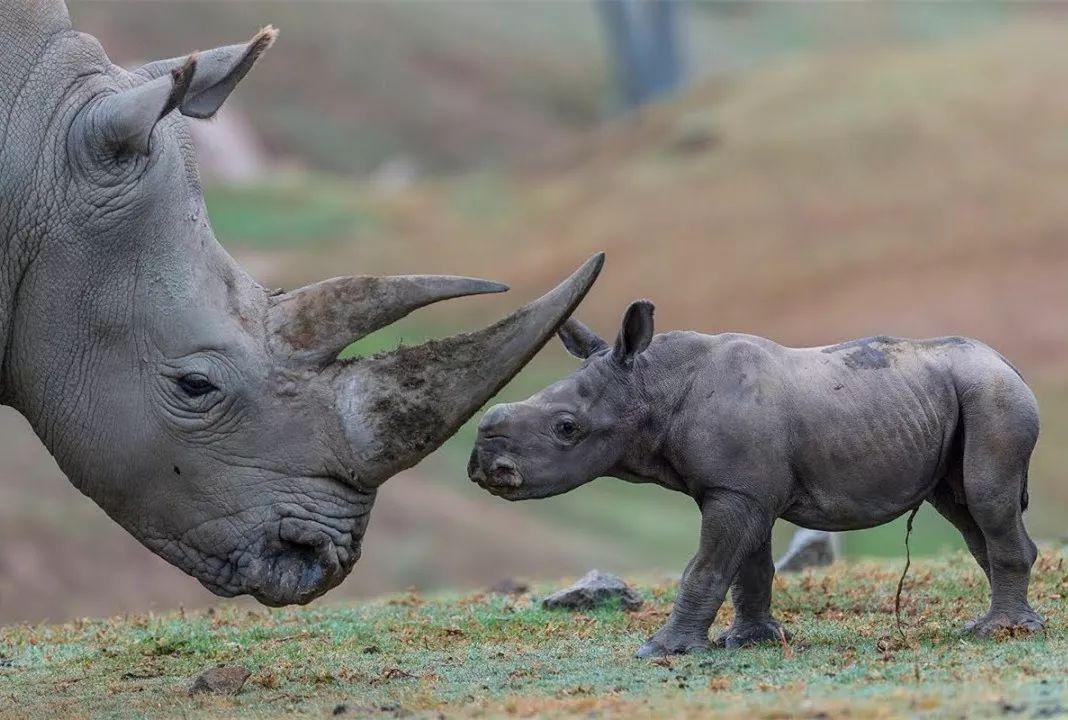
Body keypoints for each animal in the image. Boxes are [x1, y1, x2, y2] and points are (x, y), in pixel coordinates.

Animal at [472, 299, 1046, 658]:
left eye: (567, 428)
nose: (483, 467)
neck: (653, 384)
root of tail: (1008, 364)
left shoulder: (736, 490)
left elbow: (705, 566)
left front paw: (660, 650)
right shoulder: (742, 487)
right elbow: (749, 567)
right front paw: (752, 641)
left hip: (994, 396)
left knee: (986, 499)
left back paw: (999, 631)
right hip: (965, 396)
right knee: (966, 511)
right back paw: (1009, 624)